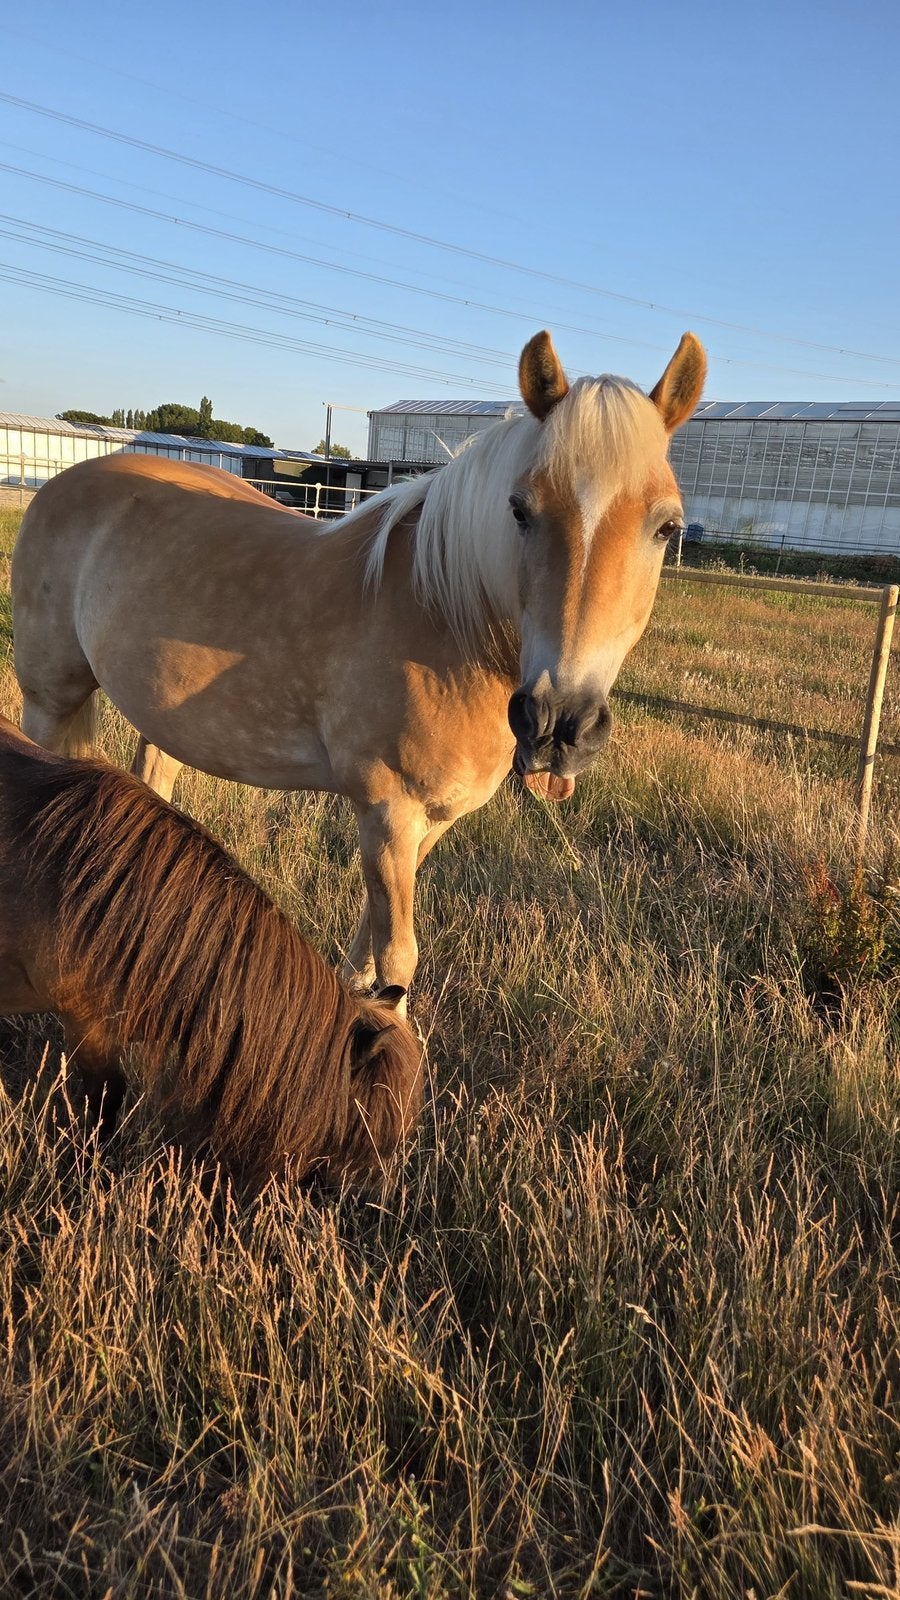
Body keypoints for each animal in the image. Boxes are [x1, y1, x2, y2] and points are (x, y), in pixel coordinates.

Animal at [12, 330, 706, 1000]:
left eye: (667, 527)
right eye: (520, 510)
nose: (559, 723)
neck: (446, 617)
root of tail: (62, 484)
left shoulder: (426, 823)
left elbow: (371, 940)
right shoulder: (388, 810)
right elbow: (398, 953)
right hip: (49, 702)